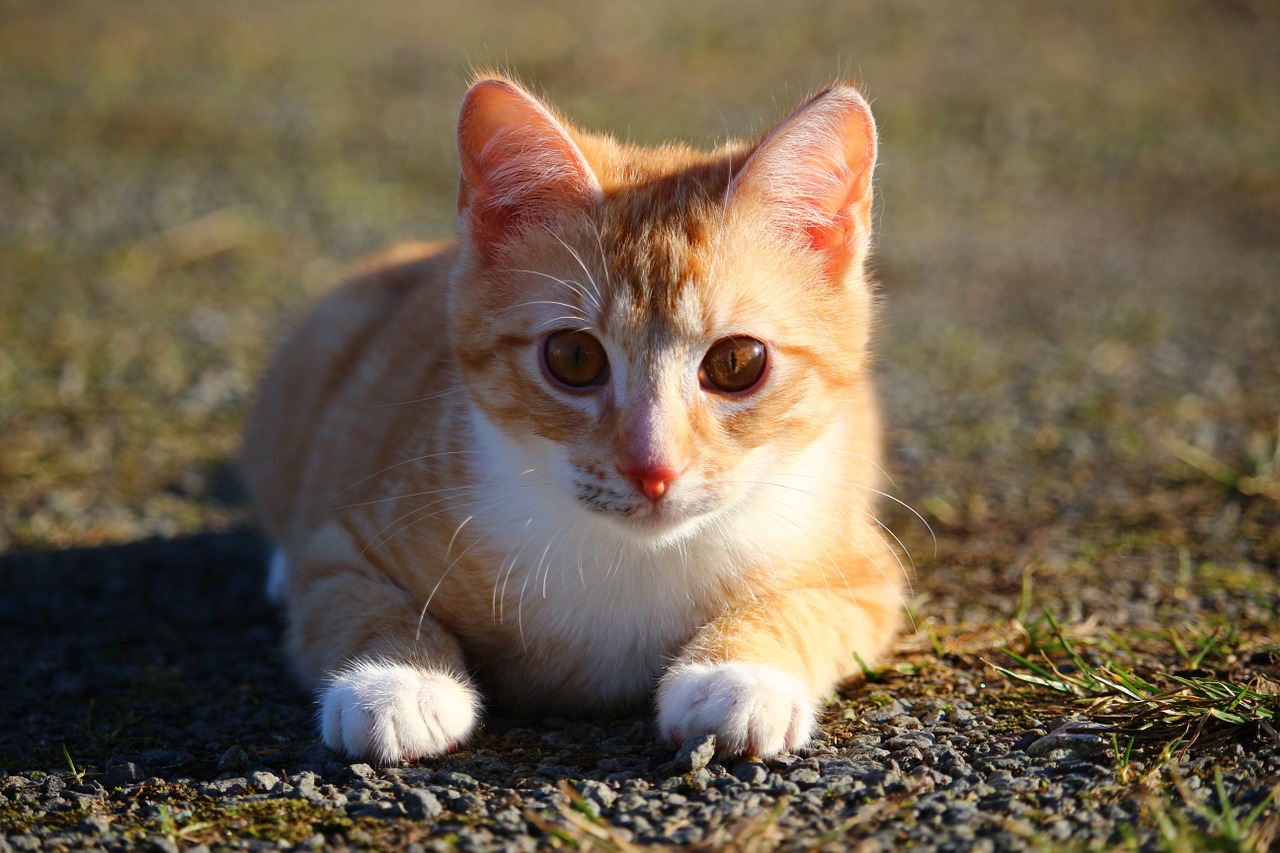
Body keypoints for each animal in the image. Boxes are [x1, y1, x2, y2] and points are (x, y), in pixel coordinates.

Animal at [240, 74, 901, 763]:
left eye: (737, 362)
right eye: (575, 357)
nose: (653, 469)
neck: (630, 561)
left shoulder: (862, 566)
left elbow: (805, 608)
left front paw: (740, 677)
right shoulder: (349, 538)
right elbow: (349, 598)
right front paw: (398, 682)